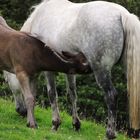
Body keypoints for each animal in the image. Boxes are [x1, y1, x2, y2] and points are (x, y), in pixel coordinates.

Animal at [3, 0, 140, 139]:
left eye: (8, 81)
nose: (21, 111)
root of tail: (122, 14)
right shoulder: (70, 69)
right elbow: (72, 95)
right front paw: (76, 124)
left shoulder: (48, 70)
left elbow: (52, 94)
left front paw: (55, 124)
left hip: (101, 71)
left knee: (111, 96)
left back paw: (110, 133)